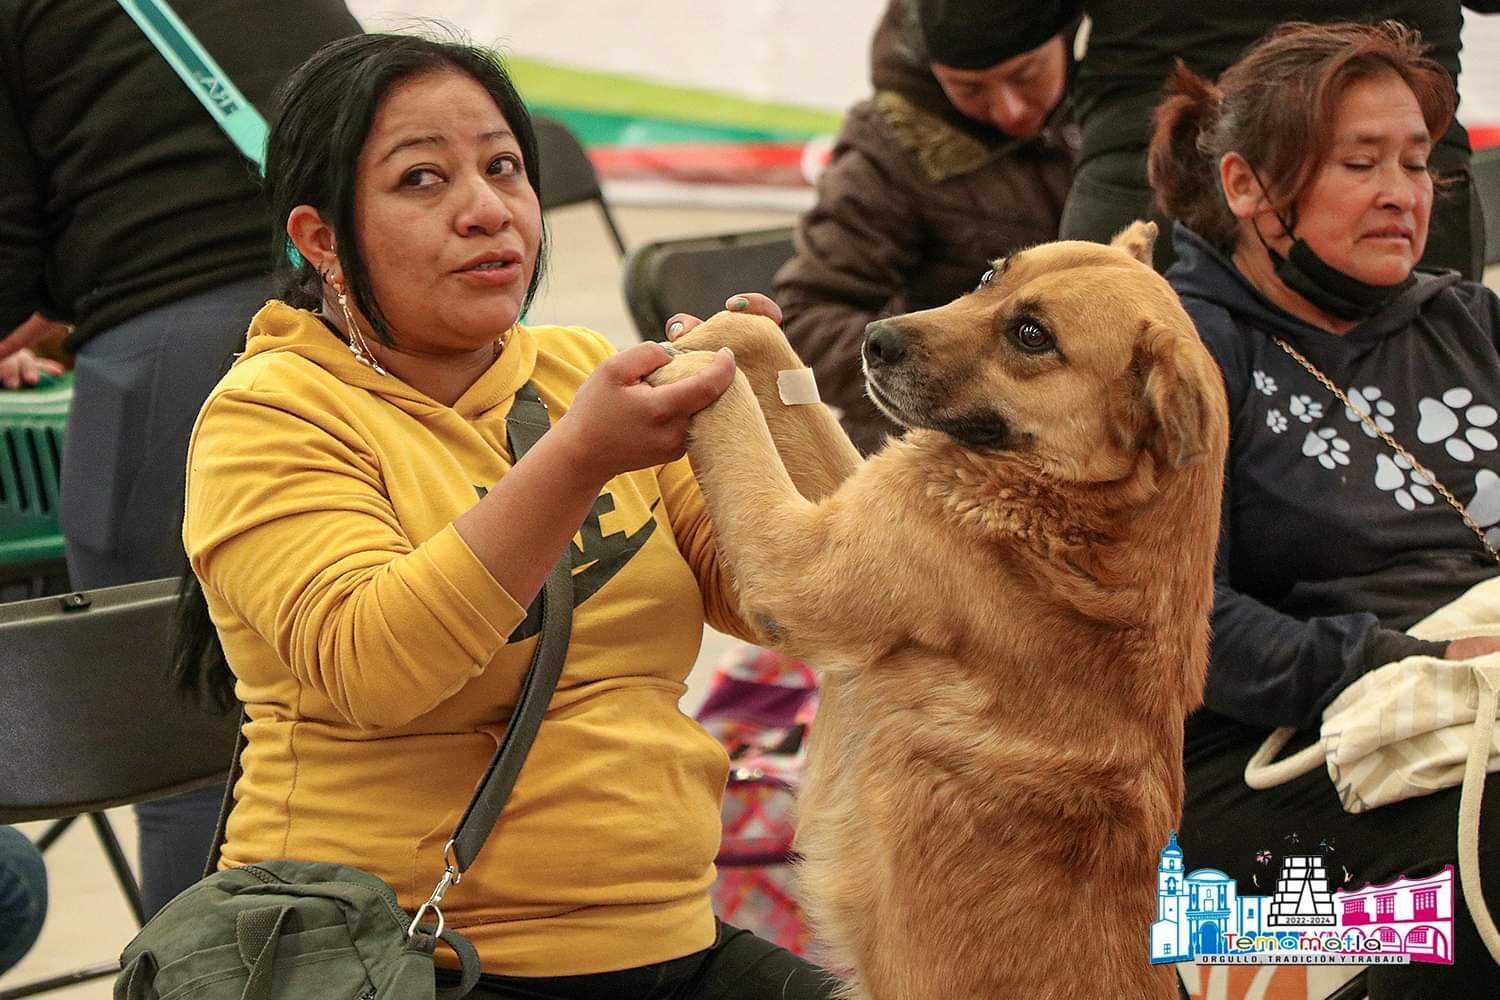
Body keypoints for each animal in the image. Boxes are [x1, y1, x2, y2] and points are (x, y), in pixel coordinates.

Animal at [657, 224, 1230, 1000]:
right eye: (989, 276)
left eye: (1031, 336)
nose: (875, 339)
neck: (1076, 510)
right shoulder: (853, 503)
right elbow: (787, 384)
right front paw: (740, 331)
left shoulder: (796, 559)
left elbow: (737, 415)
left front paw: (697, 362)